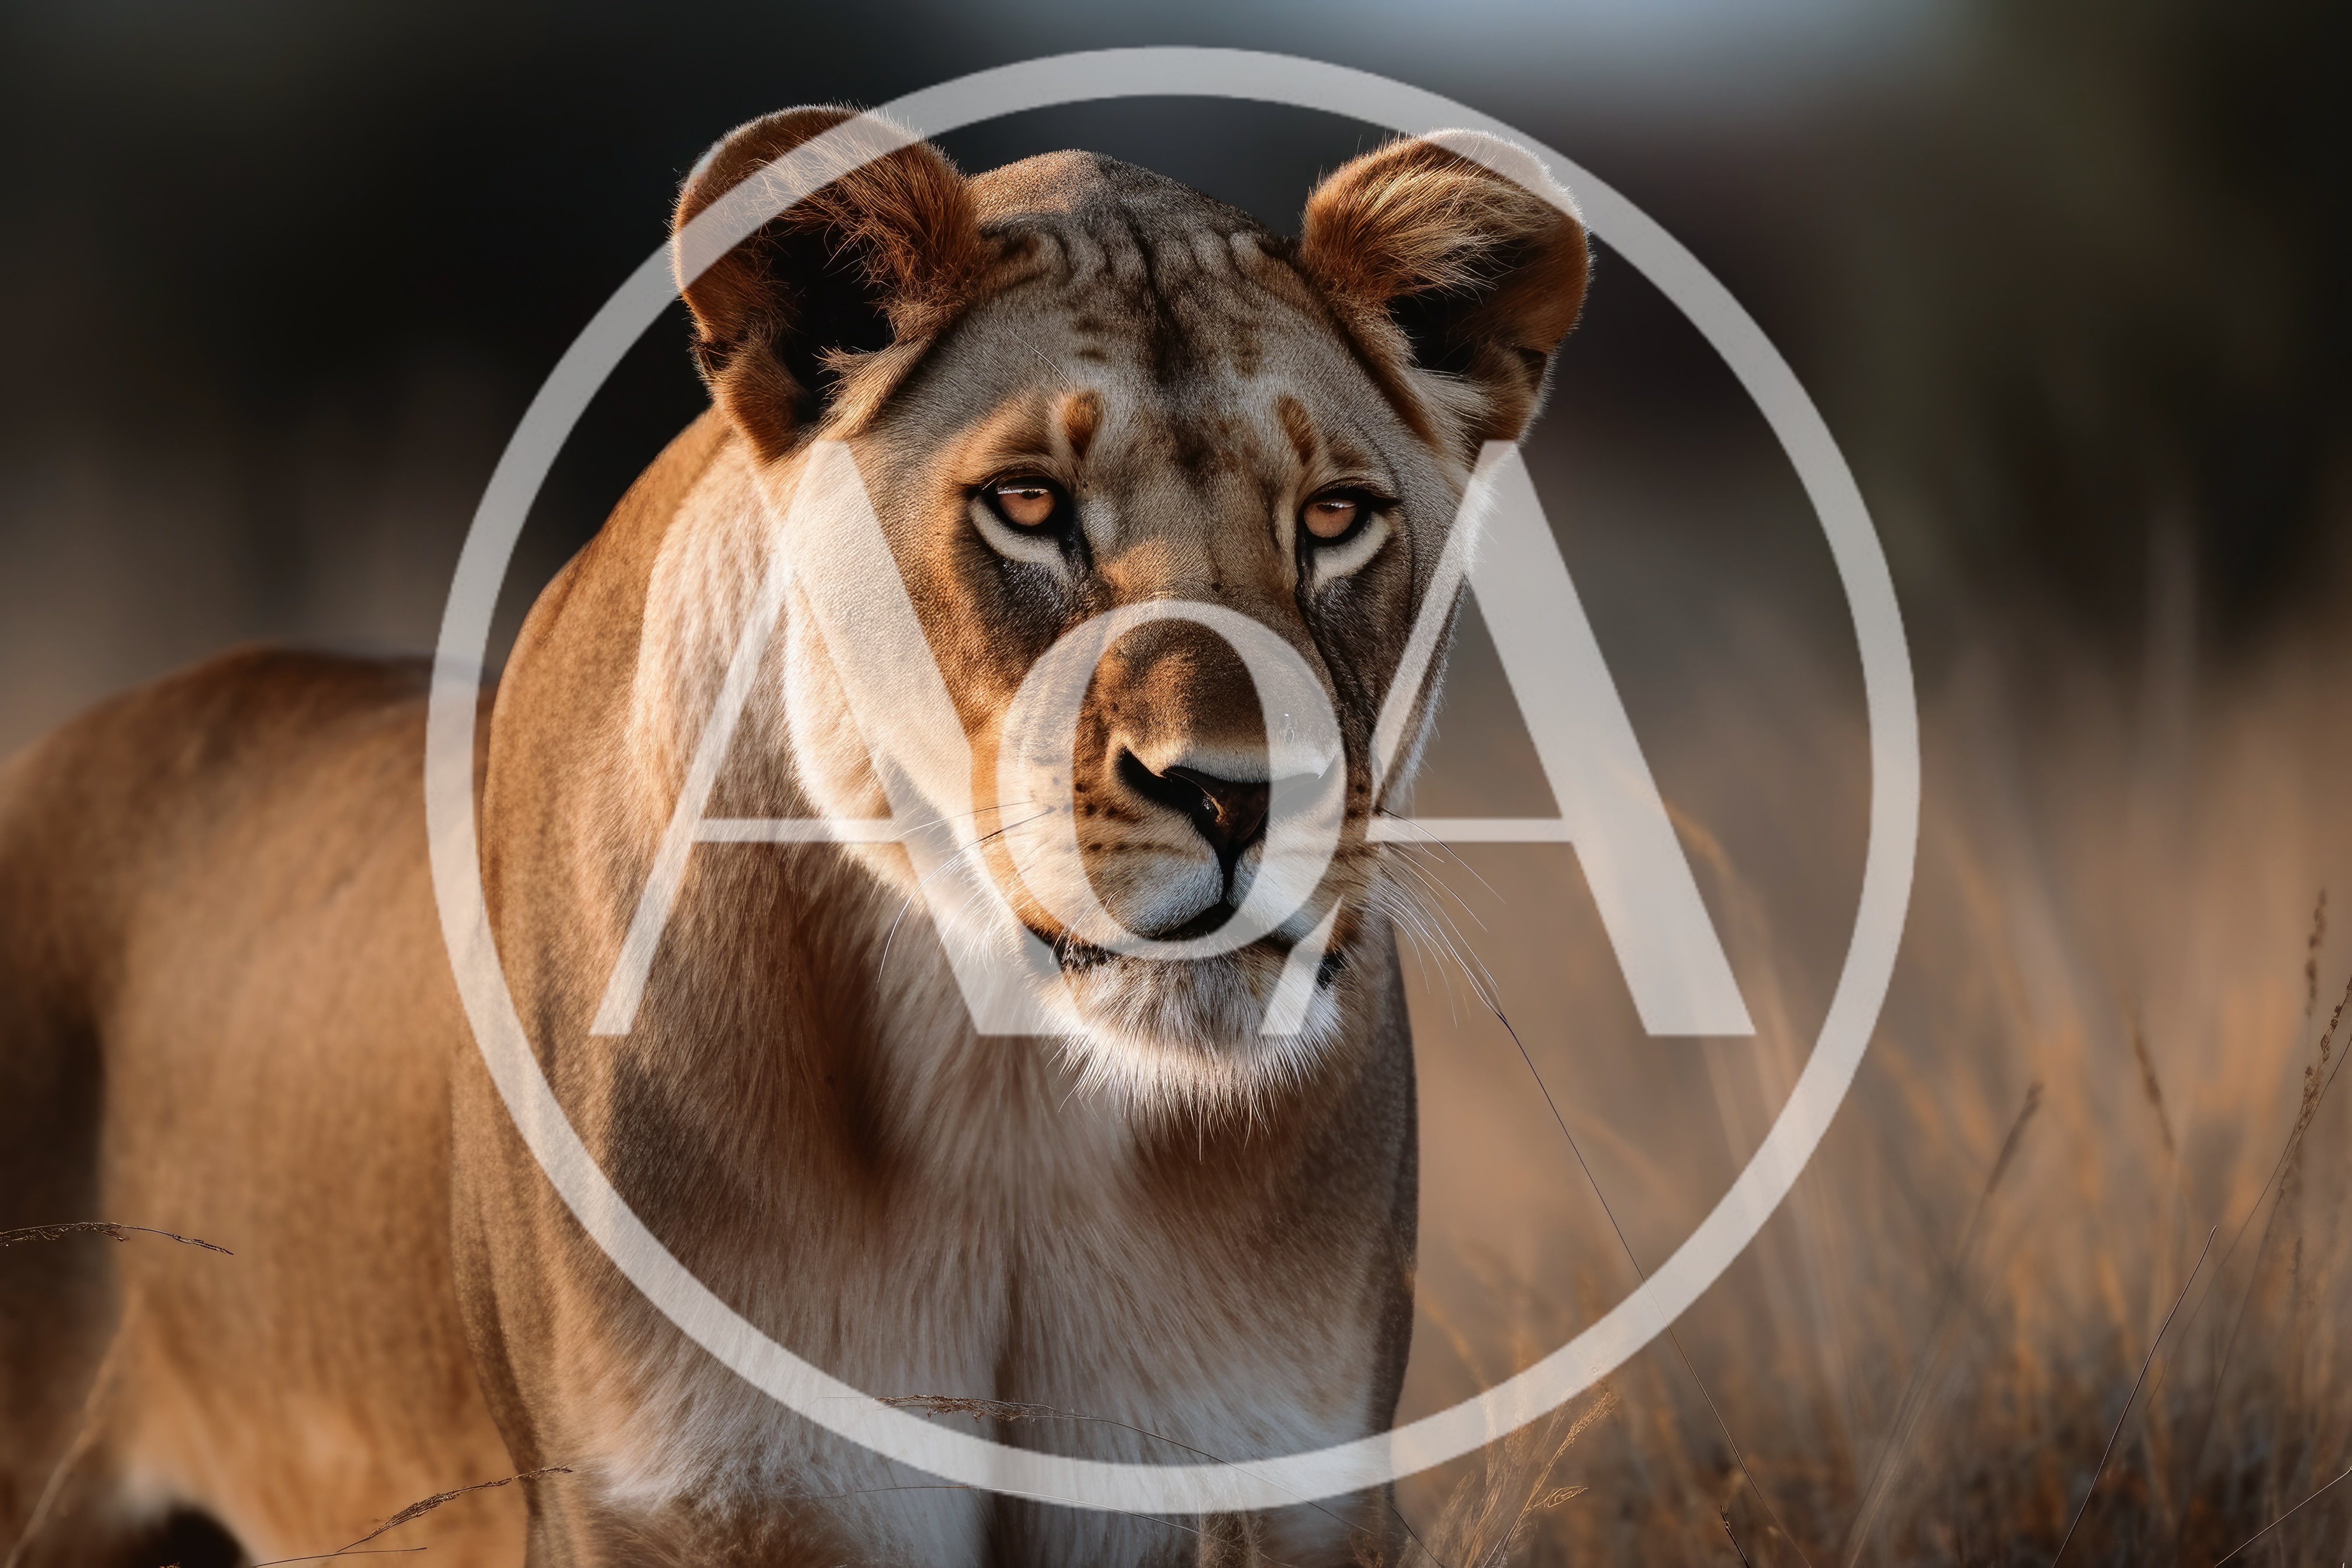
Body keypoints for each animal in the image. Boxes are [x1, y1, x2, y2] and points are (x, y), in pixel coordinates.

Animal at [0, 107, 1587, 1567]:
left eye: (1335, 518)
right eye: (1027, 505)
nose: (1245, 794)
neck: (1007, 1111)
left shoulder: (1279, 1489)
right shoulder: (679, 1504)